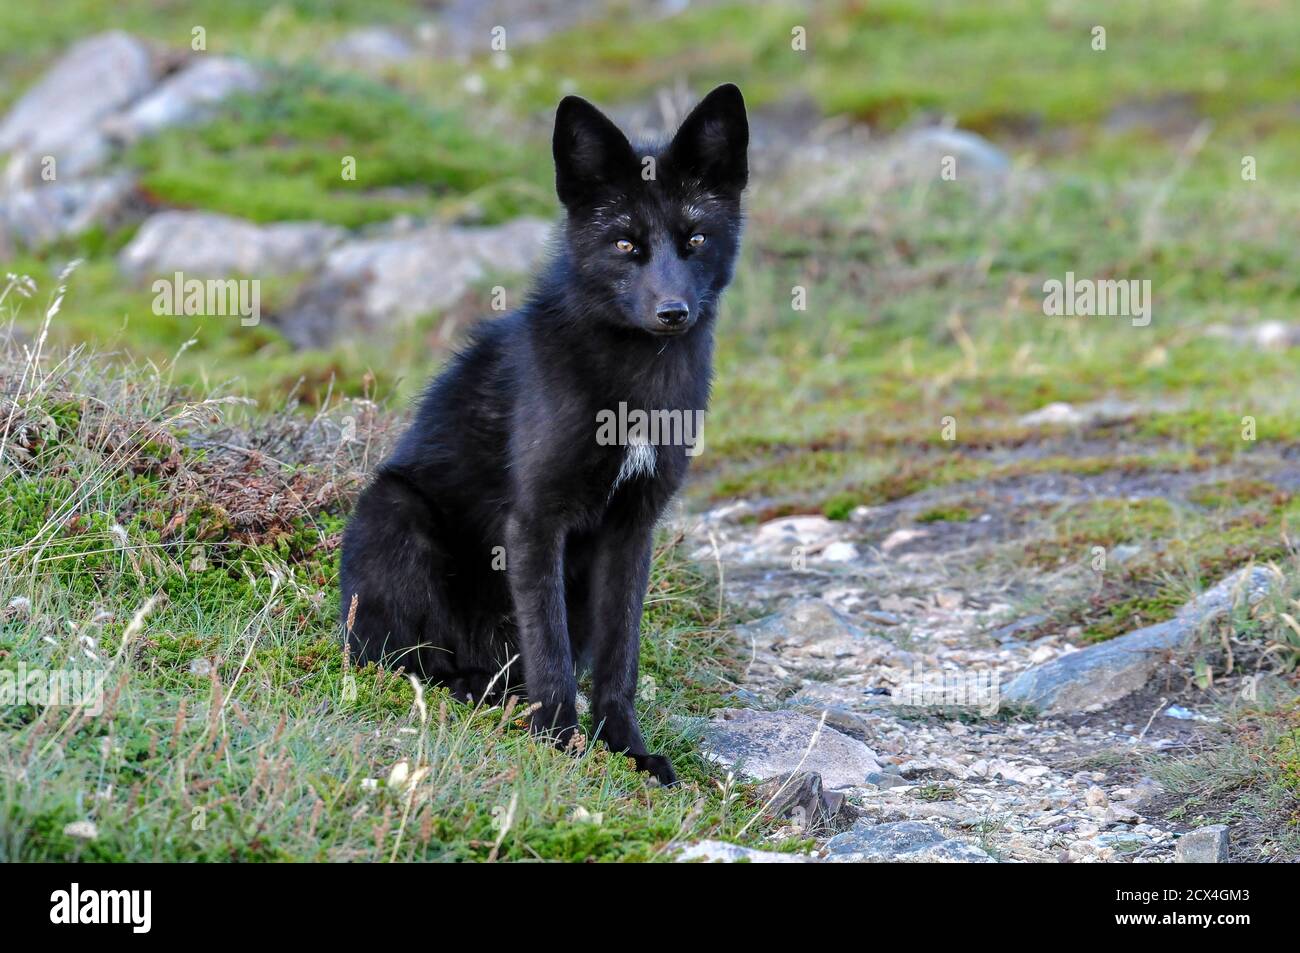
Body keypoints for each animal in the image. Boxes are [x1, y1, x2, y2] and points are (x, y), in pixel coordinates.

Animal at [340, 84, 749, 786]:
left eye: (695, 239)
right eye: (624, 245)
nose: (672, 313)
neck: (635, 390)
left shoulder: (632, 528)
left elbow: (619, 661)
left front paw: (627, 751)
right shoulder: (535, 521)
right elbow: (551, 655)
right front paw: (559, 744)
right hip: (393, 512)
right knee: (415, 662)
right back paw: (473, 694)